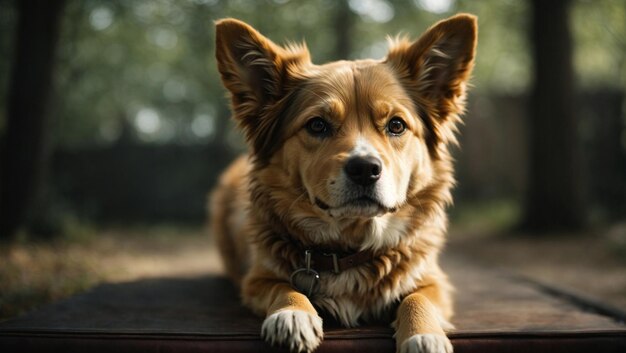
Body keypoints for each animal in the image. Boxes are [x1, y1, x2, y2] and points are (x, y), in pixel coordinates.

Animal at [212, 14, 476, 352]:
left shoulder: (435, 281)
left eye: (396, 125)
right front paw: (293, 314)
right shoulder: (256, 280)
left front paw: (423, 335)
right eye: (317, 125)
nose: (365, 169)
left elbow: (418, 299)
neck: (350, 246)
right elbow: (283, 286)